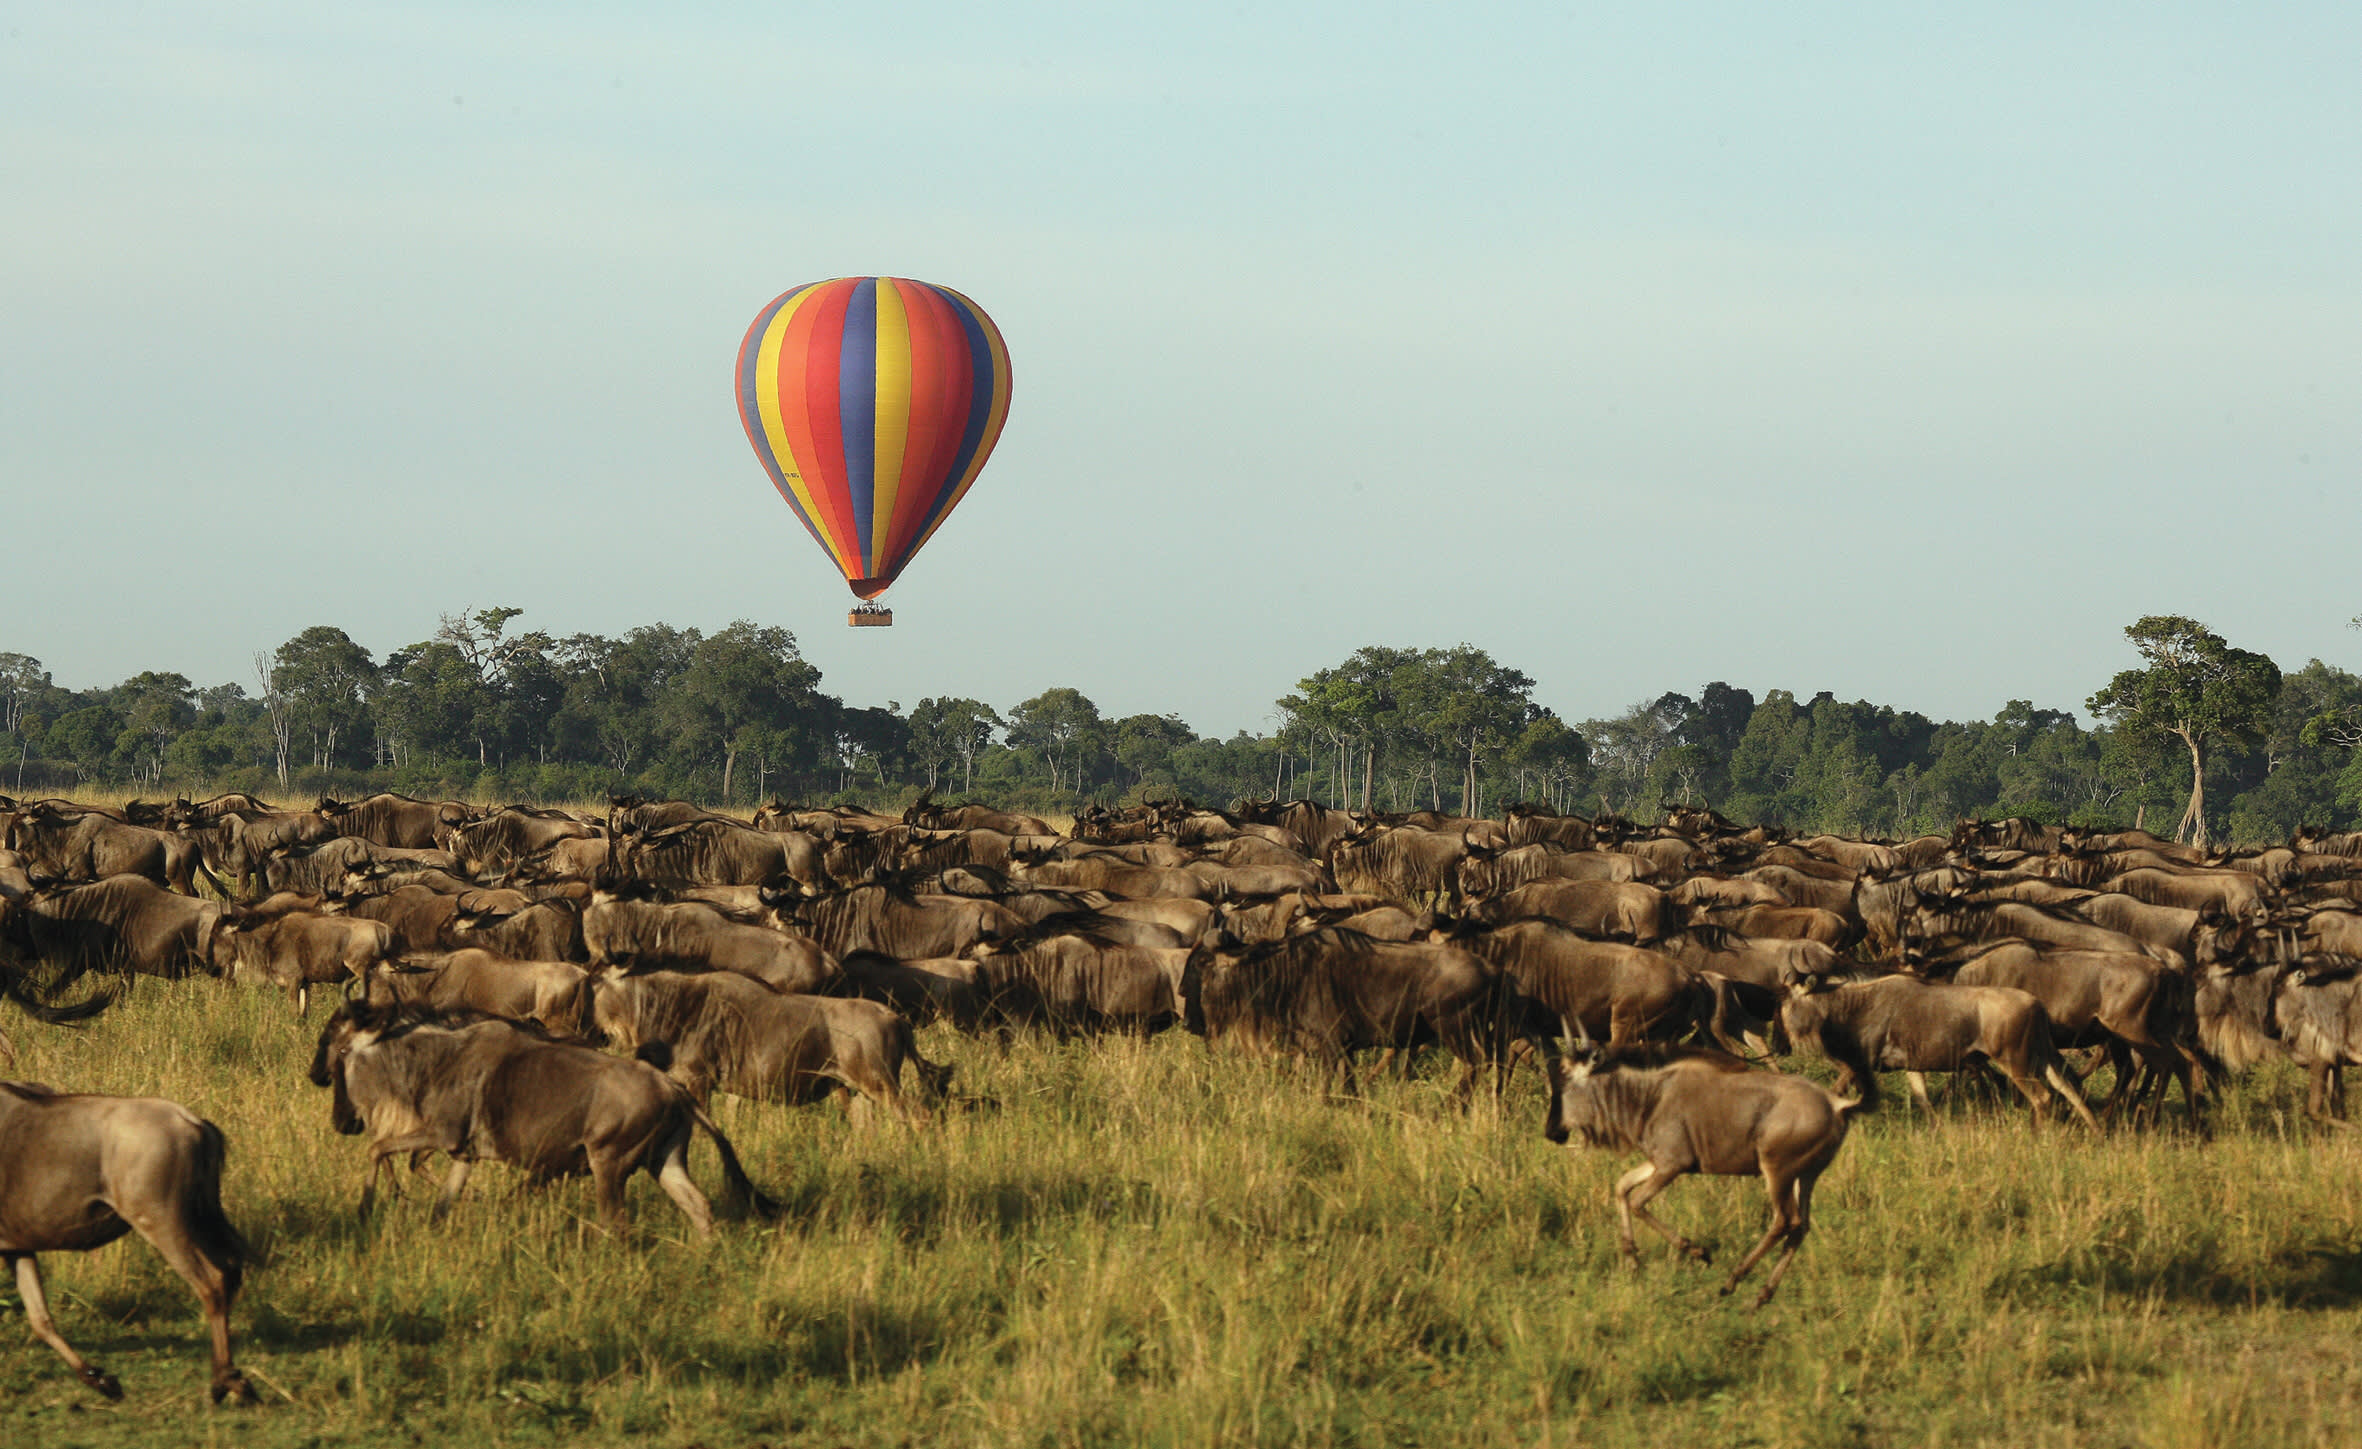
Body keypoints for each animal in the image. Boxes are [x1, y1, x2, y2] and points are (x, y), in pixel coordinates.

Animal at [0, 1083, 254, 1402]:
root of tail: (192, 1122)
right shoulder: (18, 1248)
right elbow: (41, 1319)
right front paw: (99, 1378)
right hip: (200, 1219)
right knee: (231, 1269)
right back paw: (233, 1377)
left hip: (162, 1223)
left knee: (212, 1282)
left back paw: (223, 1380)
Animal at [308, 1003, 773, 1234]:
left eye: (341, 1049)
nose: (342, 1121)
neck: (441, 1058)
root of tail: (673, 1089)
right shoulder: (464, 1154)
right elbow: (441, 1206)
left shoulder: (442, 1134)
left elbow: (377, 1148)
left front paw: (365, 1208)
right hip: (665, 1161)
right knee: (699, 1207)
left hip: (609, 1165)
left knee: (616, 1223)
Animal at [590, 968, 950, 1123]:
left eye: (595, 989)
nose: (596, 1034)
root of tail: (895, 1018)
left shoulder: (699, 1080)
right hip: (854, 1090)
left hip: (880, 1084)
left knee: (919, 1115)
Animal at [1542, 1043, 1859, 1308]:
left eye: (1565, 1078)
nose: (1551, 1132)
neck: (1648, 1099)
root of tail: (1836, 1105)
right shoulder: (1658, 1163)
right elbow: (1621, 1187)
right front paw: (1632, 1259)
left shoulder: (1673, 1164)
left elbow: (1637, 1202)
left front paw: (1698, 1251)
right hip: (1806, 1176)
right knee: (1801, 1226)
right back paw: (1763, 1294)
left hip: (1777, 1171)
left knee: (1784, 1220)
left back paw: (1733, 1281)